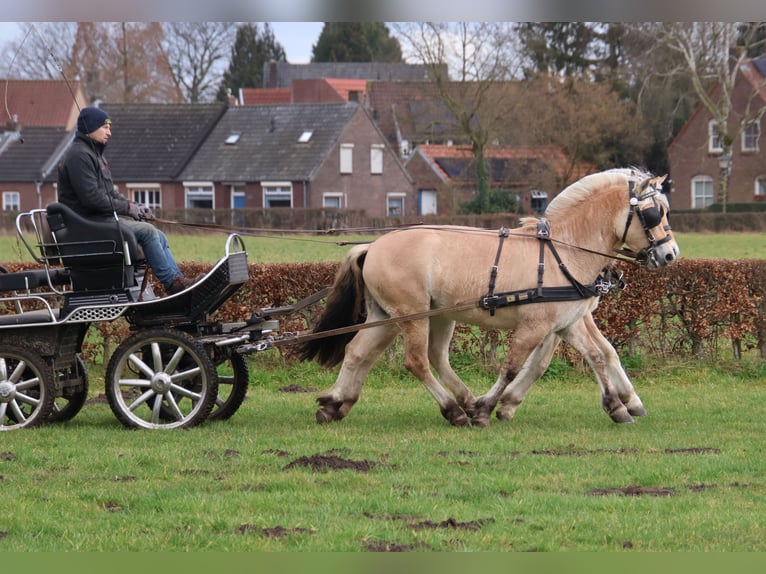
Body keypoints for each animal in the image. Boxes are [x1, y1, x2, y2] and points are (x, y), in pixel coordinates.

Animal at [296, 169, 680, 426]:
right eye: (654, 213)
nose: (670, 254)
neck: (565, 249)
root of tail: (372, 245)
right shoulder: (537, 324)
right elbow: (513, 366)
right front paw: (488, 408)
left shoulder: (567, 321)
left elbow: (598, 355)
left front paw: (619, 406)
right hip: (411, 315)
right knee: (417, 361)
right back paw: (455, 410)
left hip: (394, 315)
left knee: (360, 353)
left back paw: (336, 404)